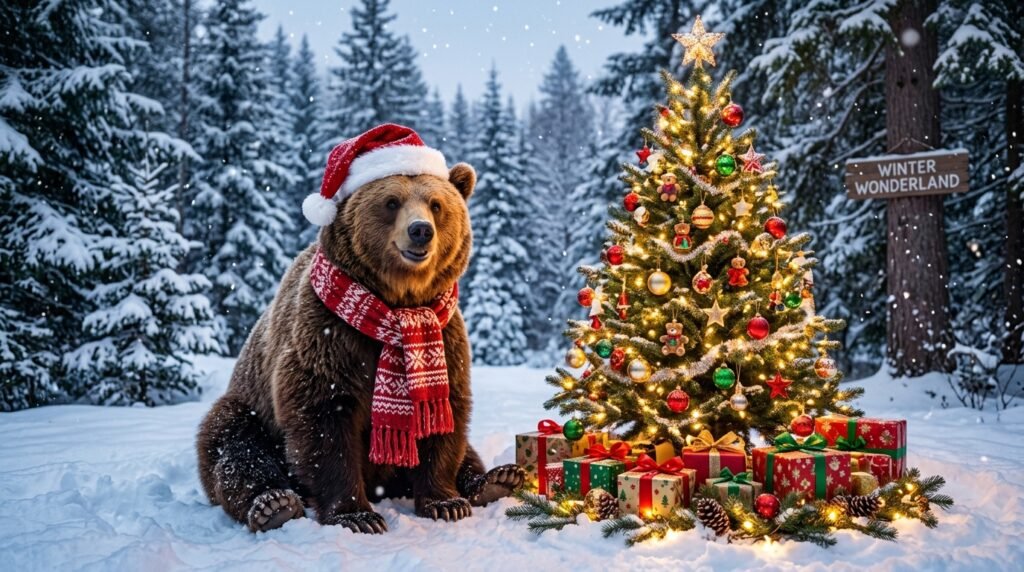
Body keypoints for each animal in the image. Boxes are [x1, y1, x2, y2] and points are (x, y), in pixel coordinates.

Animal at [196, 125, 524, 534]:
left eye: (436, 204)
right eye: (391, 202)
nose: (421, 231)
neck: (396, 304)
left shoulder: (445, 335)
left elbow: (442, 418)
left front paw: (446, 502)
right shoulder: (328, 338)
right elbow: (324, 423)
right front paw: (357, 514)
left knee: (469, 452)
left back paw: (497, 479)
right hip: (248, 407)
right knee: (236, 447)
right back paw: (273, 504)